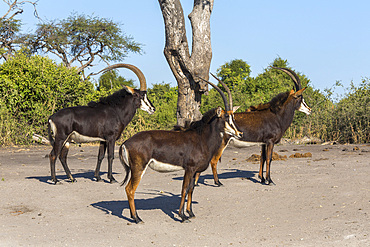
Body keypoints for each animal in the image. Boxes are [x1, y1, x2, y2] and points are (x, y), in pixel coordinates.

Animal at [118, 79, 243, 224]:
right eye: (226, 117)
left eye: (233, 117)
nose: (240, 133)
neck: (201, 137)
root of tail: (125, 143)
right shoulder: (189, 169)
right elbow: (184, 190)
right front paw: (182, 216)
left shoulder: (195, 171)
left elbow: (191, 189)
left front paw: (190, 213)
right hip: (138, 168)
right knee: (130, 189)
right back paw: (137, 218)